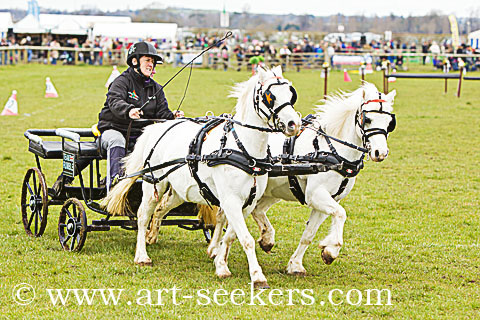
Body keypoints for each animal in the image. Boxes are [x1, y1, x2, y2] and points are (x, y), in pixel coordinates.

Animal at [103, 65, 300, 288]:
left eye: (290, 94)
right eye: (269, 96)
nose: (293, 124)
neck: (244, 150)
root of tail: (157, 127)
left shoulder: (247, 204)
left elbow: (231, 236)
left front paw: (221, 265)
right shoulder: (231, 201)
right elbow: (246, 239)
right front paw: (258, 276)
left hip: (181, 190)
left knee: (161, 209)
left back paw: (151, 236)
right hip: (154, 183)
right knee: (143, 215)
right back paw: (142, 255)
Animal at [204, 82, 396, 276]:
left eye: (390, 123)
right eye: (367, 119)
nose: (380, 152)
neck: (332, 151)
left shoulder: (329, 200)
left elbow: (309, 234)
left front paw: (296, 264)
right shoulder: (316, 195)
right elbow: (341, 213)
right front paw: (331, 250)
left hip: (269, 192)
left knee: (252, 211)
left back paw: (262, 239)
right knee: (224, 216)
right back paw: (216, 249)